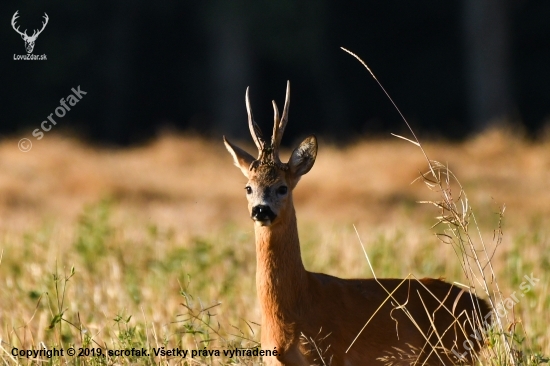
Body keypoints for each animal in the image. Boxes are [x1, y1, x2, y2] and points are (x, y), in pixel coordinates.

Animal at [224, 81, 492, 364]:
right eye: (248, 188)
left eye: (282, 187)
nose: (261, 210)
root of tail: (485, 309)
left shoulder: (330, 354)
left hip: (449, 353)